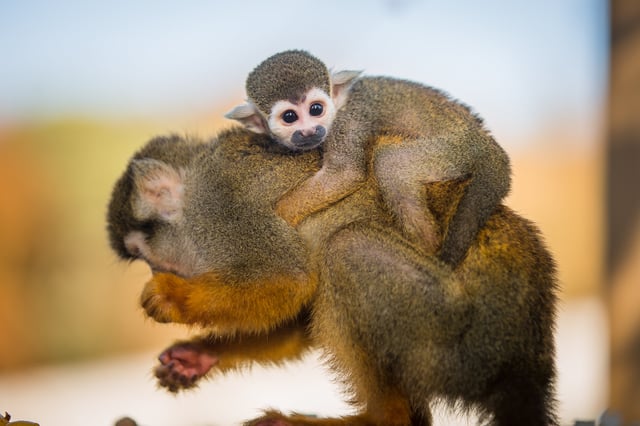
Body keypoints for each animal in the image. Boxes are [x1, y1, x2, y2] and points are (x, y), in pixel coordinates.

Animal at [107, 126, 559, 425]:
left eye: (144, 256)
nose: (158, 270)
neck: (193, 195)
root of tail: (528, 354)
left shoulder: (225, 210)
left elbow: (291, 278)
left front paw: (171, 298)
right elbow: (295, 317)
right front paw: (198, 355)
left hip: (457, 338)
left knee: (344, 250)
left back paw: (380, 418)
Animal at [226, 50, 511, 266]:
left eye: (316, 109)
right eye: (289, 117)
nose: (309, 131)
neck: (339, 105)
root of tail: (484, 138)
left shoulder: (347, 122)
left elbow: (345, 174)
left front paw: (281, 214)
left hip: (455, 149)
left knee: (391, 163)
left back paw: (425, 245)